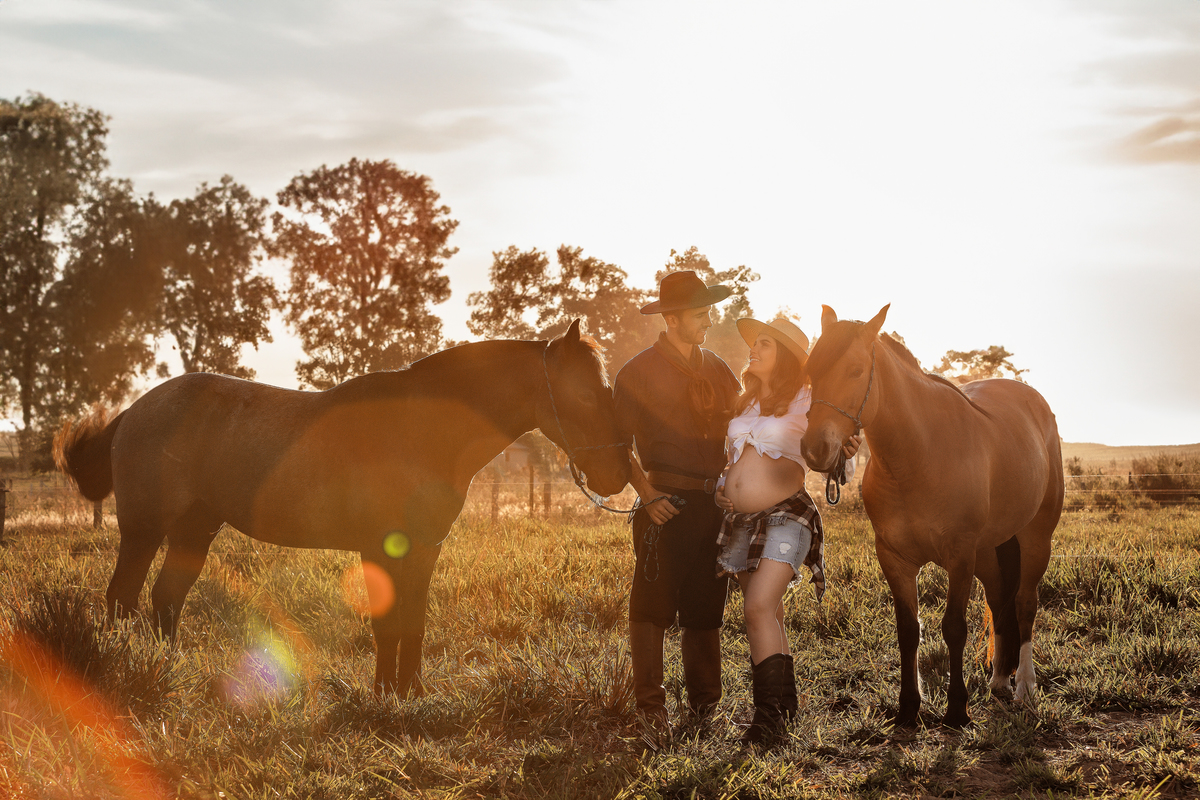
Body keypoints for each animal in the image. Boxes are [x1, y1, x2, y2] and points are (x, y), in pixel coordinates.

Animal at [54, 320, 630, 696]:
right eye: (583, 392)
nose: (618, 473)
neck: (419, 428)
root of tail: (135, 409)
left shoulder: (425, 549)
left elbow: (413, 622)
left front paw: (411, 693)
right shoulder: (379, 548)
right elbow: (386, 624)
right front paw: (383, 694)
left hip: (194, 532)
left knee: (165, 600)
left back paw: (168, 666)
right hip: (143, 531)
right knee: (122, 599)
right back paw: (129, 667)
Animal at [800, 305, 1063, 728]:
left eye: (855, 370)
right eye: (811, 369)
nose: (814, 448)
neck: (918, 455)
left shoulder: (960, 554)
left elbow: (954, 627)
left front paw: (957, 709)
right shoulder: (895, 558)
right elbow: (909, 630)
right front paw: (909, 707)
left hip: (1035, 540)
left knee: (1025, 604)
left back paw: (1024, 686)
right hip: (989, 552)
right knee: (999, 600)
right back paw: (999, 680)